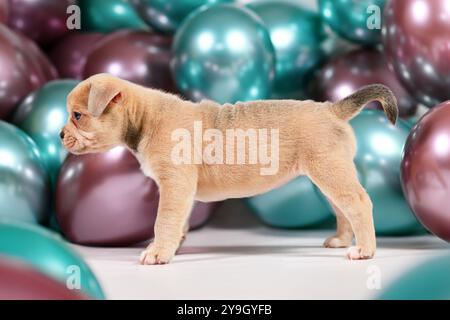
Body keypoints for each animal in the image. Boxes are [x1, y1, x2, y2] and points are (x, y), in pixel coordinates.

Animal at [60, 74, 398, 264]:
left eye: (77, 115)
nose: (60, 135)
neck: (143, 116)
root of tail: (331, 109)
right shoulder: (182, 193)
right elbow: (178, 223)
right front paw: (172, 247)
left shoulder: (173, 187)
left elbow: (164, 221)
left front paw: (157, 252)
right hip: (328, 176)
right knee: (342, 209)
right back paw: (342, 239)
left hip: (330, 173)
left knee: (358, 204)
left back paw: (364, 250)